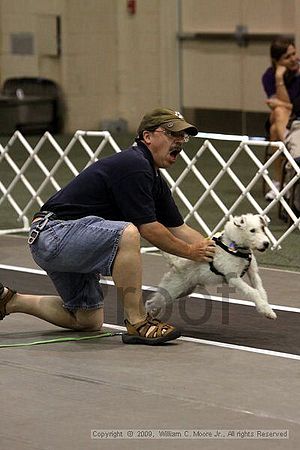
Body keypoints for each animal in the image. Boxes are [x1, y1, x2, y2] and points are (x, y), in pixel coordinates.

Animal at [145, 214, 276, 320]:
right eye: (252, 230)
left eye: (263, 228)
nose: (266, 244)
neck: (235, 246)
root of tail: (176, 263)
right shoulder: (233, 278)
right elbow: (253, 292)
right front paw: (264, 308)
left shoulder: (253, 273)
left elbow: (260, 290)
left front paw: (267, 309)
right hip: (172, 290)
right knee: (150, 303)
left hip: (182, 291)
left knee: (153, 303)